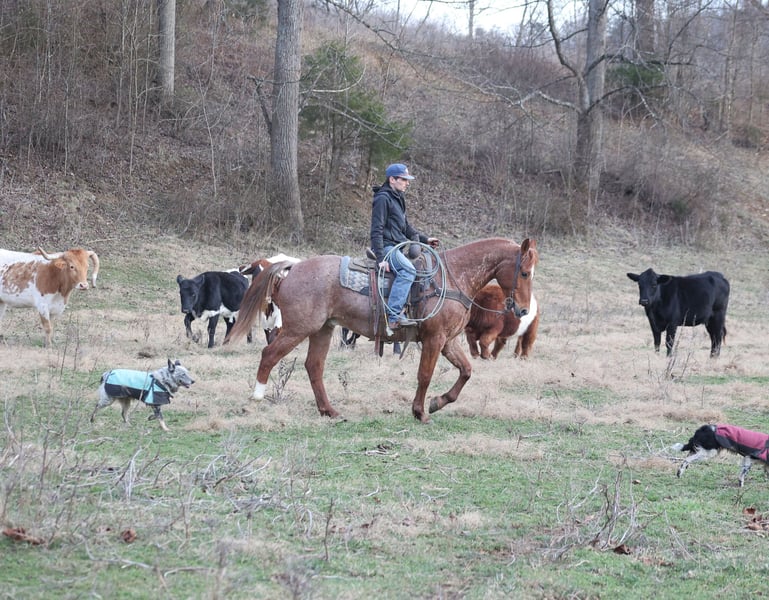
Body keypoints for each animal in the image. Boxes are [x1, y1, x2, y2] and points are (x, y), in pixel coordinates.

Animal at [225, 238, 538, 423]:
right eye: (524, 272)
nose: (523, 310)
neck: (452, 278)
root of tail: (292, 268)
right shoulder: (434, 339)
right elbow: (425, 376)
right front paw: (420, 412)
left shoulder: (448, 341)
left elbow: (466, 371)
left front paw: (438, 403)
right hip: (298, 329)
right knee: (269, 354)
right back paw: (257, 396)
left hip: (322, 330)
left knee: (314, 366)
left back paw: (329, 410)